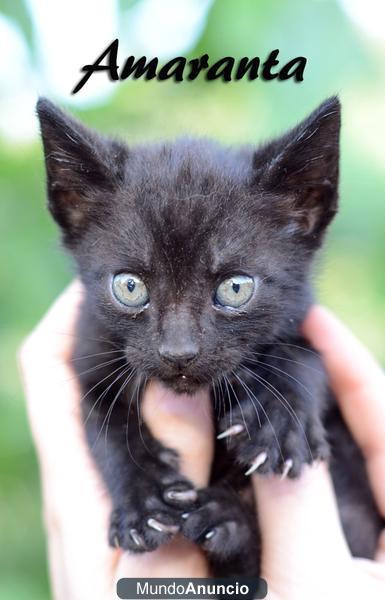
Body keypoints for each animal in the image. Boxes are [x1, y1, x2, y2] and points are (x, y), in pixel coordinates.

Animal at [36, 98, 380, 576]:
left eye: (235, 288)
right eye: (129, 286)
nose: (178, 352)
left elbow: (306, 355)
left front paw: (279, 418)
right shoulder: (89, 355)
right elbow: (104, 425)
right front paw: (144, 501)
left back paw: (227, 518)